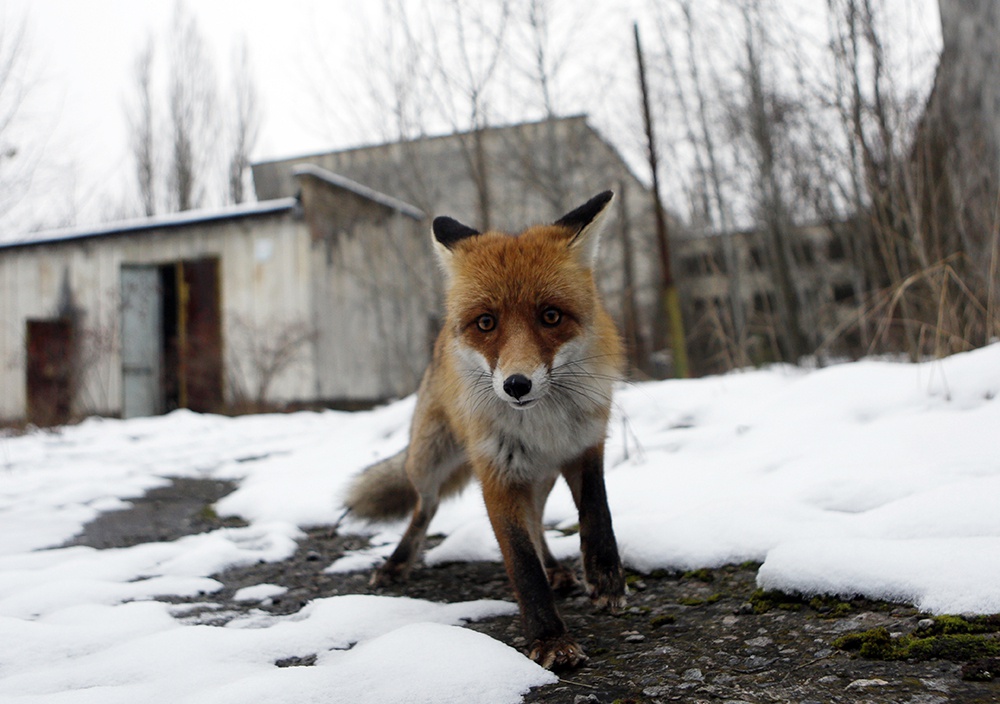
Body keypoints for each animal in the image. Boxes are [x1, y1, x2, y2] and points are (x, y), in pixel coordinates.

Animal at [344, 190, 624, 668]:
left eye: (551, 316)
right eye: (486, 323)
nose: (516, 385)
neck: (543, 425)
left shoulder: (586, 444)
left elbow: (596, 510)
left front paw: (606, 577)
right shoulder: (495, 472)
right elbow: (521, 562)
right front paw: (549, 638)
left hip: (540, 477)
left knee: (537, 521)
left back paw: (558, 570)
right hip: (428, 460)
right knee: (424, 508)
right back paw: (397, 562)